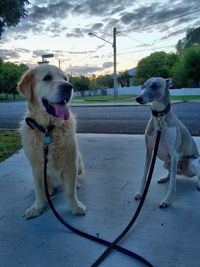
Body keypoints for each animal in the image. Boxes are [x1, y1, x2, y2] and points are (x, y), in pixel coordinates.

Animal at [18, 65, 86, 220]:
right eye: (47, 78)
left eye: (65, 78)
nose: (69, 87)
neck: (48, 130)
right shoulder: (37, 167)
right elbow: (39, 190)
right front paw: (37, 207)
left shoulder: (70, 163)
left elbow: (70, 191)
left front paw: (75, 206)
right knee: (45, 187)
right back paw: (49, 190)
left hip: (79, 161)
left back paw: (76, 184)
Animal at [134, 76, 200, 208]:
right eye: (143, 86)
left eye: (155, 85)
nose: (138, 98)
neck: (159, 118)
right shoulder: (149, 151)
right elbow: (144, 175)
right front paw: (140, 193)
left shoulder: (174, 154)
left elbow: (172, 185)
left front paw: (167, 200)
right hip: (167, 163)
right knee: (171, 173)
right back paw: (165, 178)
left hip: (193, 162)